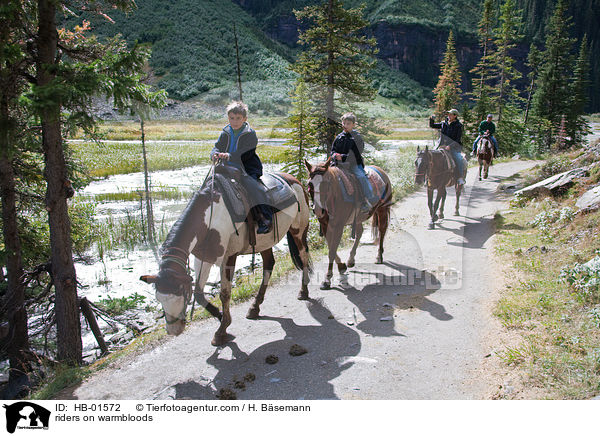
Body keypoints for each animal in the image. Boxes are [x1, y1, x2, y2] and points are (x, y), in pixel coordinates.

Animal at [139, 165, 312, 346]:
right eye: (159, 298)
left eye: (179, 295)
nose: (173, 330)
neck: (211, 216)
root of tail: (294, 180)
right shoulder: (203, 258)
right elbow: (199, 294)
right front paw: (220, 316)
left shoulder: (229, 257)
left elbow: (225, 293)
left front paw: (222, 330)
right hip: (265, 242)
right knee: (269, 265)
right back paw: (254, 307)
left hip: (298, 231)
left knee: (303, 256)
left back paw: (303, 291)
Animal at [304, 158, 394, 292]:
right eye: (309, 184)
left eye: (327, 184)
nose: (319, 210)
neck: (334, 197)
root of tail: (382, 171)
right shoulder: (325, 226)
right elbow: (331, 248)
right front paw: (341, 267)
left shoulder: (339, 226)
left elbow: (332, 251)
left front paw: (327, 280)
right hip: (359, 218)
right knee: (360, 233)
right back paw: (351, 260)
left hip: (382, 209)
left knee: (382, 230)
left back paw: (379, 257)